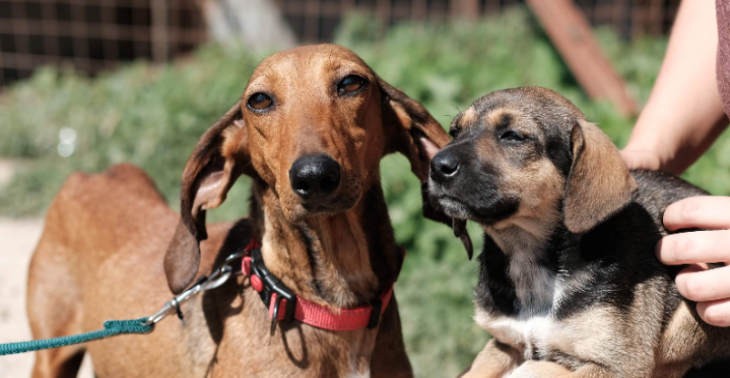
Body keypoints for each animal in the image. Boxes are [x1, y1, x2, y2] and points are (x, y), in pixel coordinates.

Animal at [25, 45, 452, 378]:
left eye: (351, 83)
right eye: (259, 100)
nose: (314, 176)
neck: (332, 308)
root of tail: (90, 175)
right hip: (49, 356)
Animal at [426, 87, 728, 376]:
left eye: (512, 136)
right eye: (454, 131)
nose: (436, 166)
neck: (527, 255)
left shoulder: (619, 365)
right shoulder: (503, 342)